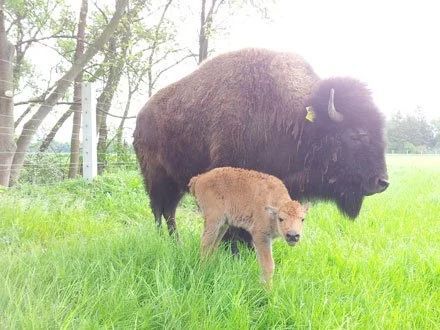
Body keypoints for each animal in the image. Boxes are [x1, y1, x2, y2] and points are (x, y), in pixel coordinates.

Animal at [133, 47, 388, 245]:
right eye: (357, 134)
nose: (383, 182)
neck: (295, 119)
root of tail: (141, 116)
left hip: (176, 183)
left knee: (168, 210)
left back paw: (175, 242)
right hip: (157, 178)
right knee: (160, 209)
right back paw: (165, 241)